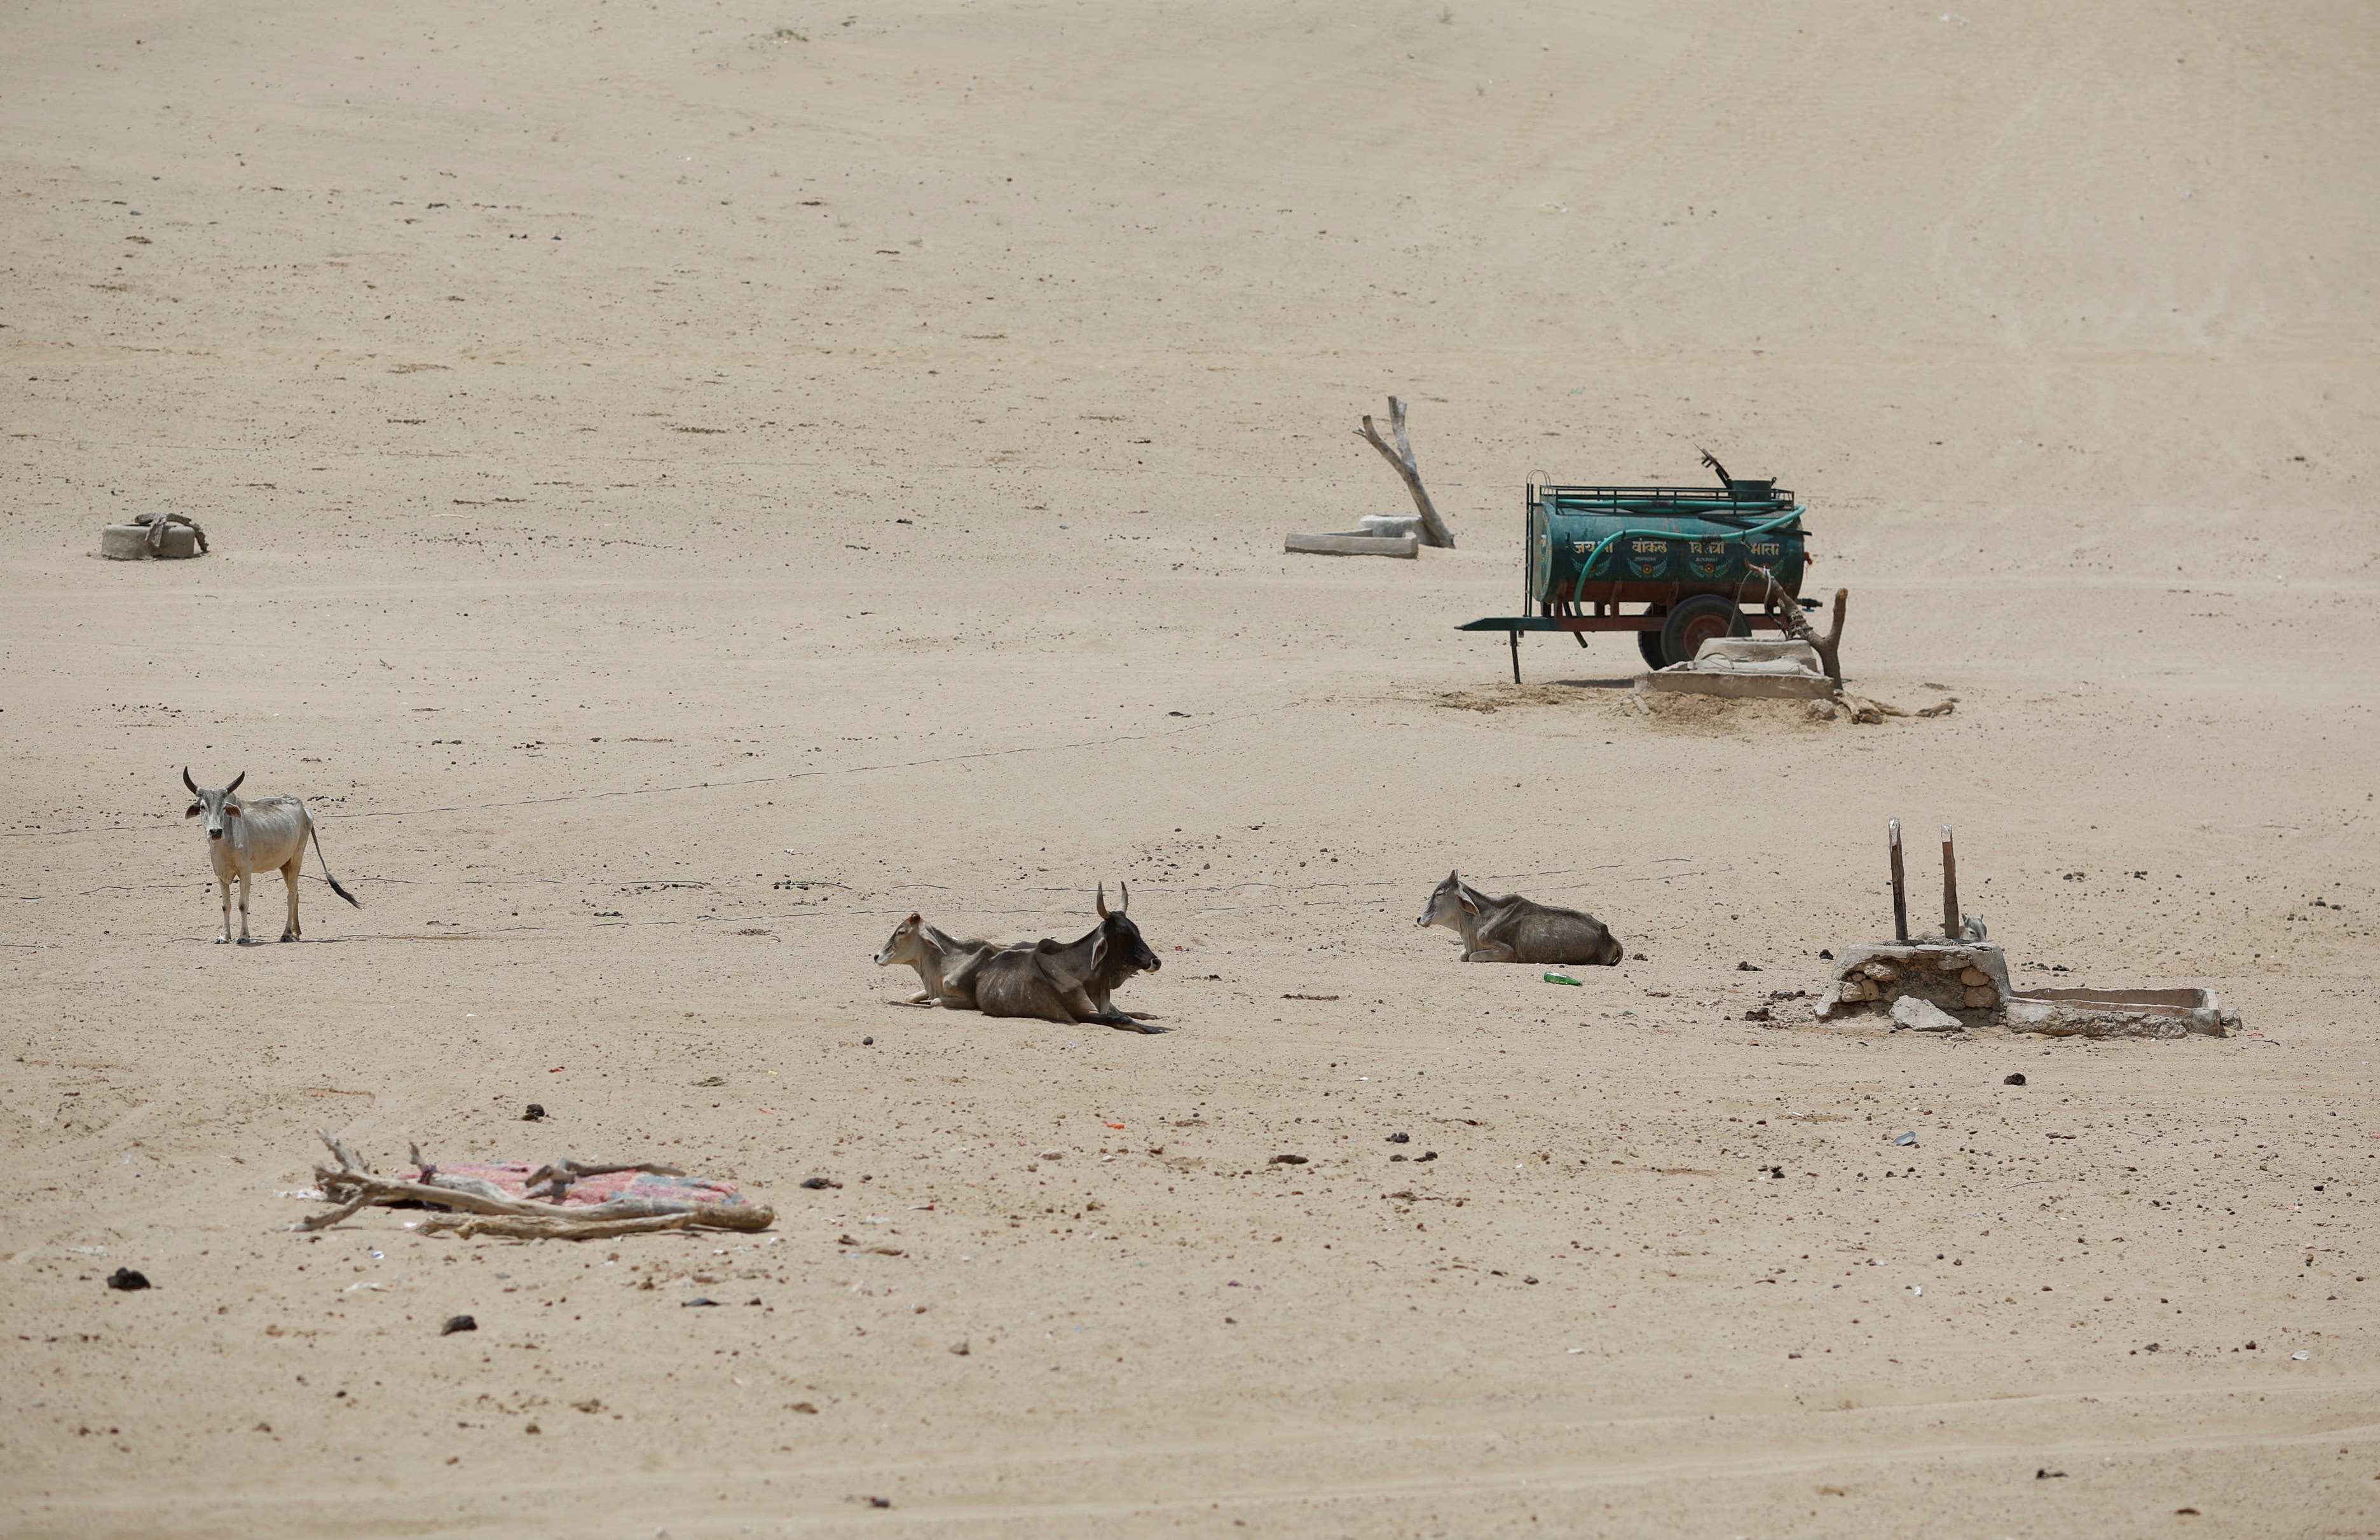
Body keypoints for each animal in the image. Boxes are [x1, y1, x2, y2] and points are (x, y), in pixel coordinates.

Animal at [183, 768, 362, 944]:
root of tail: (306, 811)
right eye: (202, 807)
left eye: (225, 807)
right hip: (285, 865)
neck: (226, 842)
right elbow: (226, 905)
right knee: (296, 892)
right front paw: (224, 936)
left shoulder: (245, 872)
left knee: (291, 895)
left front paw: (244, 936)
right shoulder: (221, 874)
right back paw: (296, 933)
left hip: (297, 857)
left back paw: (287, 934)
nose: (215, 832)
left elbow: (243, 904)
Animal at [974, 882, 1163, 1031]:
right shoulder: (1083, 1013)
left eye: (1136, 929)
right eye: (1123, 933)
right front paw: (1156, 1029)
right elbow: (1122, 1019)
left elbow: (1122, 1014)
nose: (1156, 961)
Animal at [1415, 871, 1623, 966]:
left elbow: (1472, 957)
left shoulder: (1507, 953)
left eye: (1439, 894)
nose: (1419, 918)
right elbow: (1464, 955)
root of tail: (1608, 934)